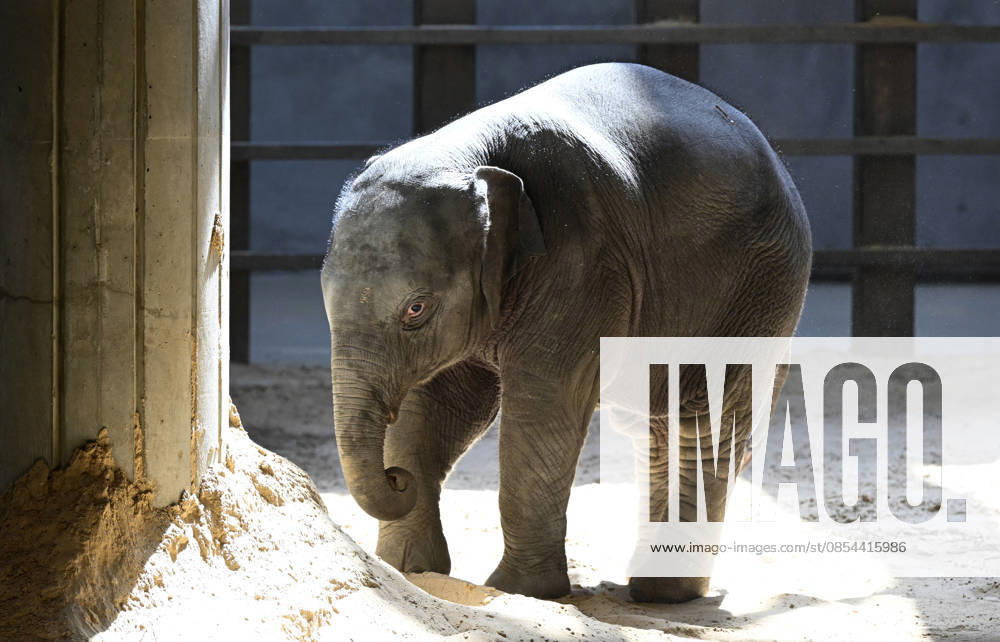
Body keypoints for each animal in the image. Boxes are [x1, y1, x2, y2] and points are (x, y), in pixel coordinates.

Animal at [321, 62, 811, 602]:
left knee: (706, 418)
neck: (466, 154)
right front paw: (408, 570)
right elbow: (434, 407)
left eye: (415, 308)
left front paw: (521, 592)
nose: (396, 479)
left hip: (761, 288)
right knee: (656, 424)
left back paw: (665, 592)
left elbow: (542, 402)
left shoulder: (582, 264)